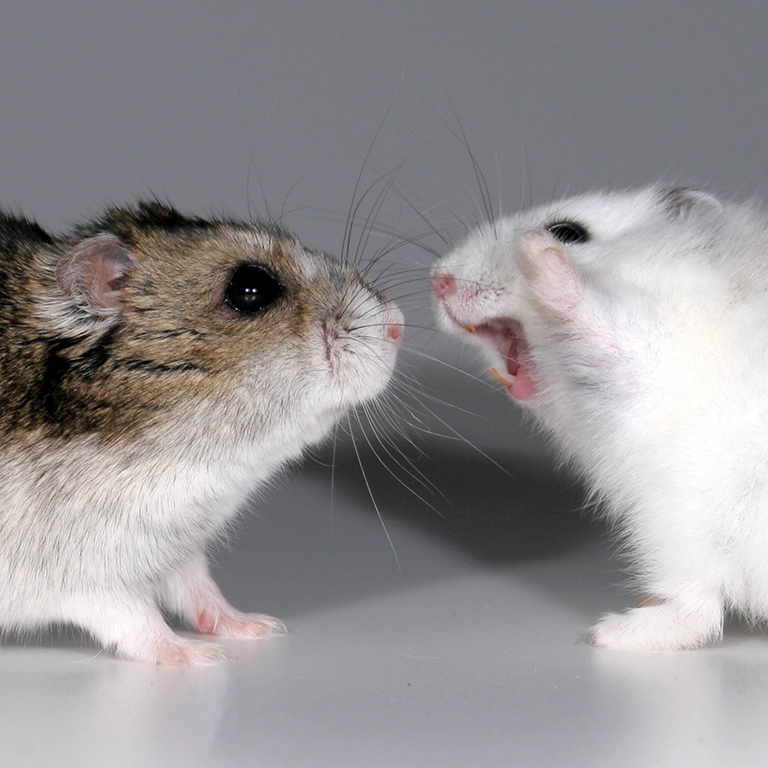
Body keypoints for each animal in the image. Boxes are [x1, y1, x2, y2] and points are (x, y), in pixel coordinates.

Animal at [0, 201, 404, 664]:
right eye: (250, 291)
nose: (399, 325)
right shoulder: (86, 574)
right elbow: (137, 620)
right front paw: (199, 656)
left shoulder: (178, 550)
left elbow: (200, 590)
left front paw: (261, 626)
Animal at [432, 184, 768, 648]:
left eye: (568, 231)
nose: (436, 280)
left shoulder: (643, 343)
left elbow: (590, 316)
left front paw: (535, 249)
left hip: (681, 523)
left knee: (697, 612)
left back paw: (608, 632)